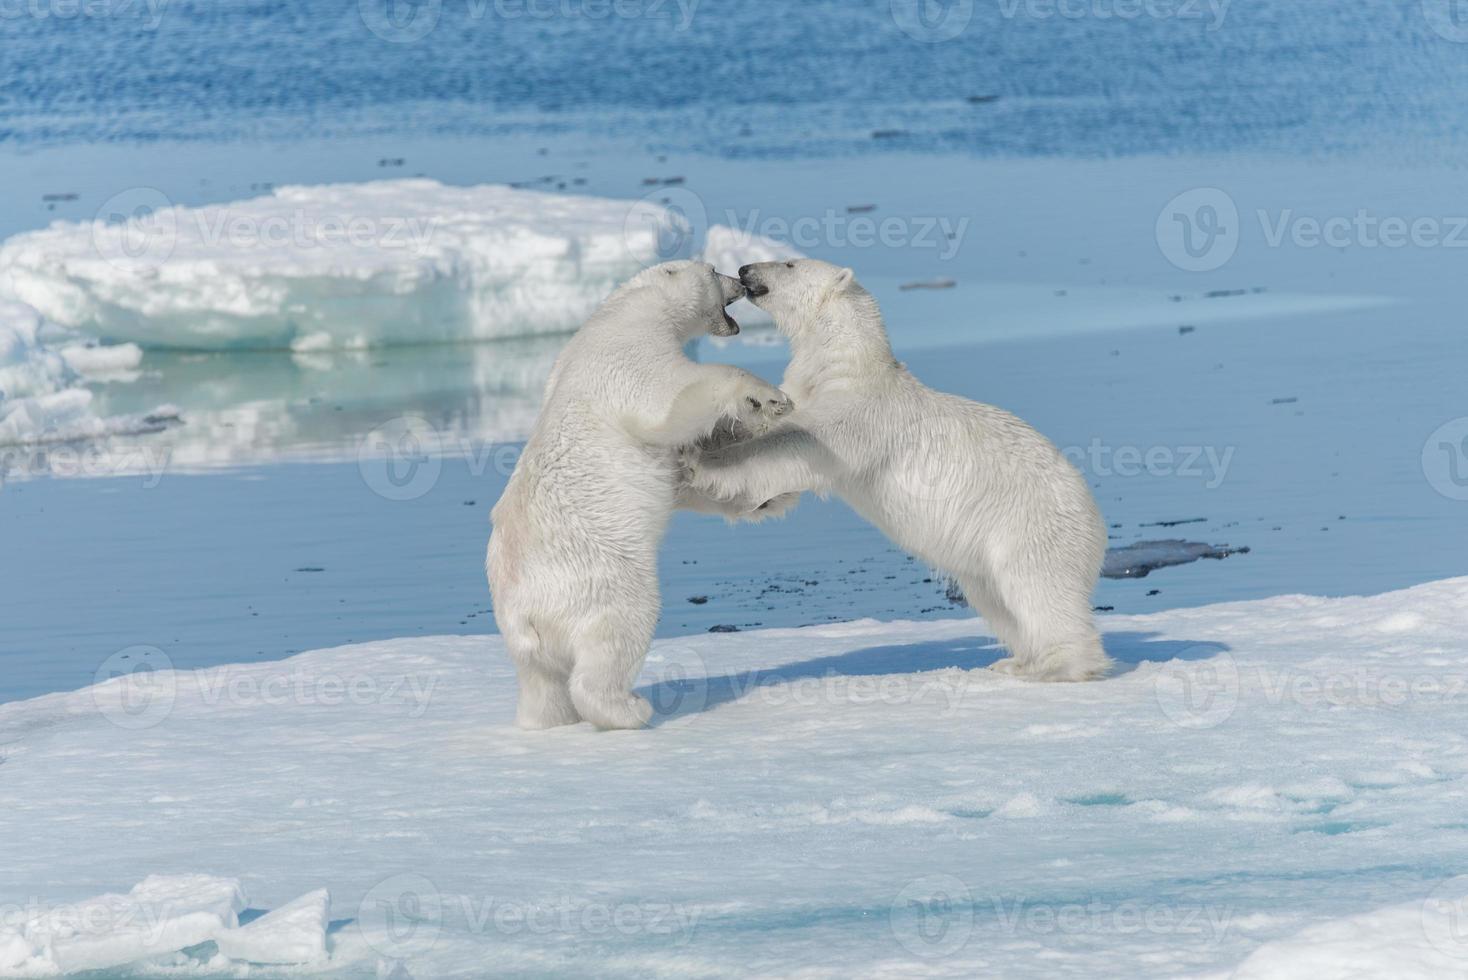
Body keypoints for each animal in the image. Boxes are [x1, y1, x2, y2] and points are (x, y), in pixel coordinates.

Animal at [487, 262, 792, 733]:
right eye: (711, 269)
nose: (739, 278)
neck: (624, 310)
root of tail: (523, 611)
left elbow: (684, 474)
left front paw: (766, 497)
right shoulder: (628, 354)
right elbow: (670, 400)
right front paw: (767, 397)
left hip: (527, 645)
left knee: (543, 685)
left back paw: (549, 722)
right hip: (602, 582)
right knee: (617, 637)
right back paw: (629, 709)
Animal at [687, 256, 1109, 680]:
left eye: (789, 263)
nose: (744, 268)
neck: (844, 362)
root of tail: (1094, 517)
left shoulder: (859, 412)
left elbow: (797, 443)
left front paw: (702, 465)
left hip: (1028, 524)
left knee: (1037, 589)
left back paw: (1057, 666)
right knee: (995, 598)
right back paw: (1016, 660)